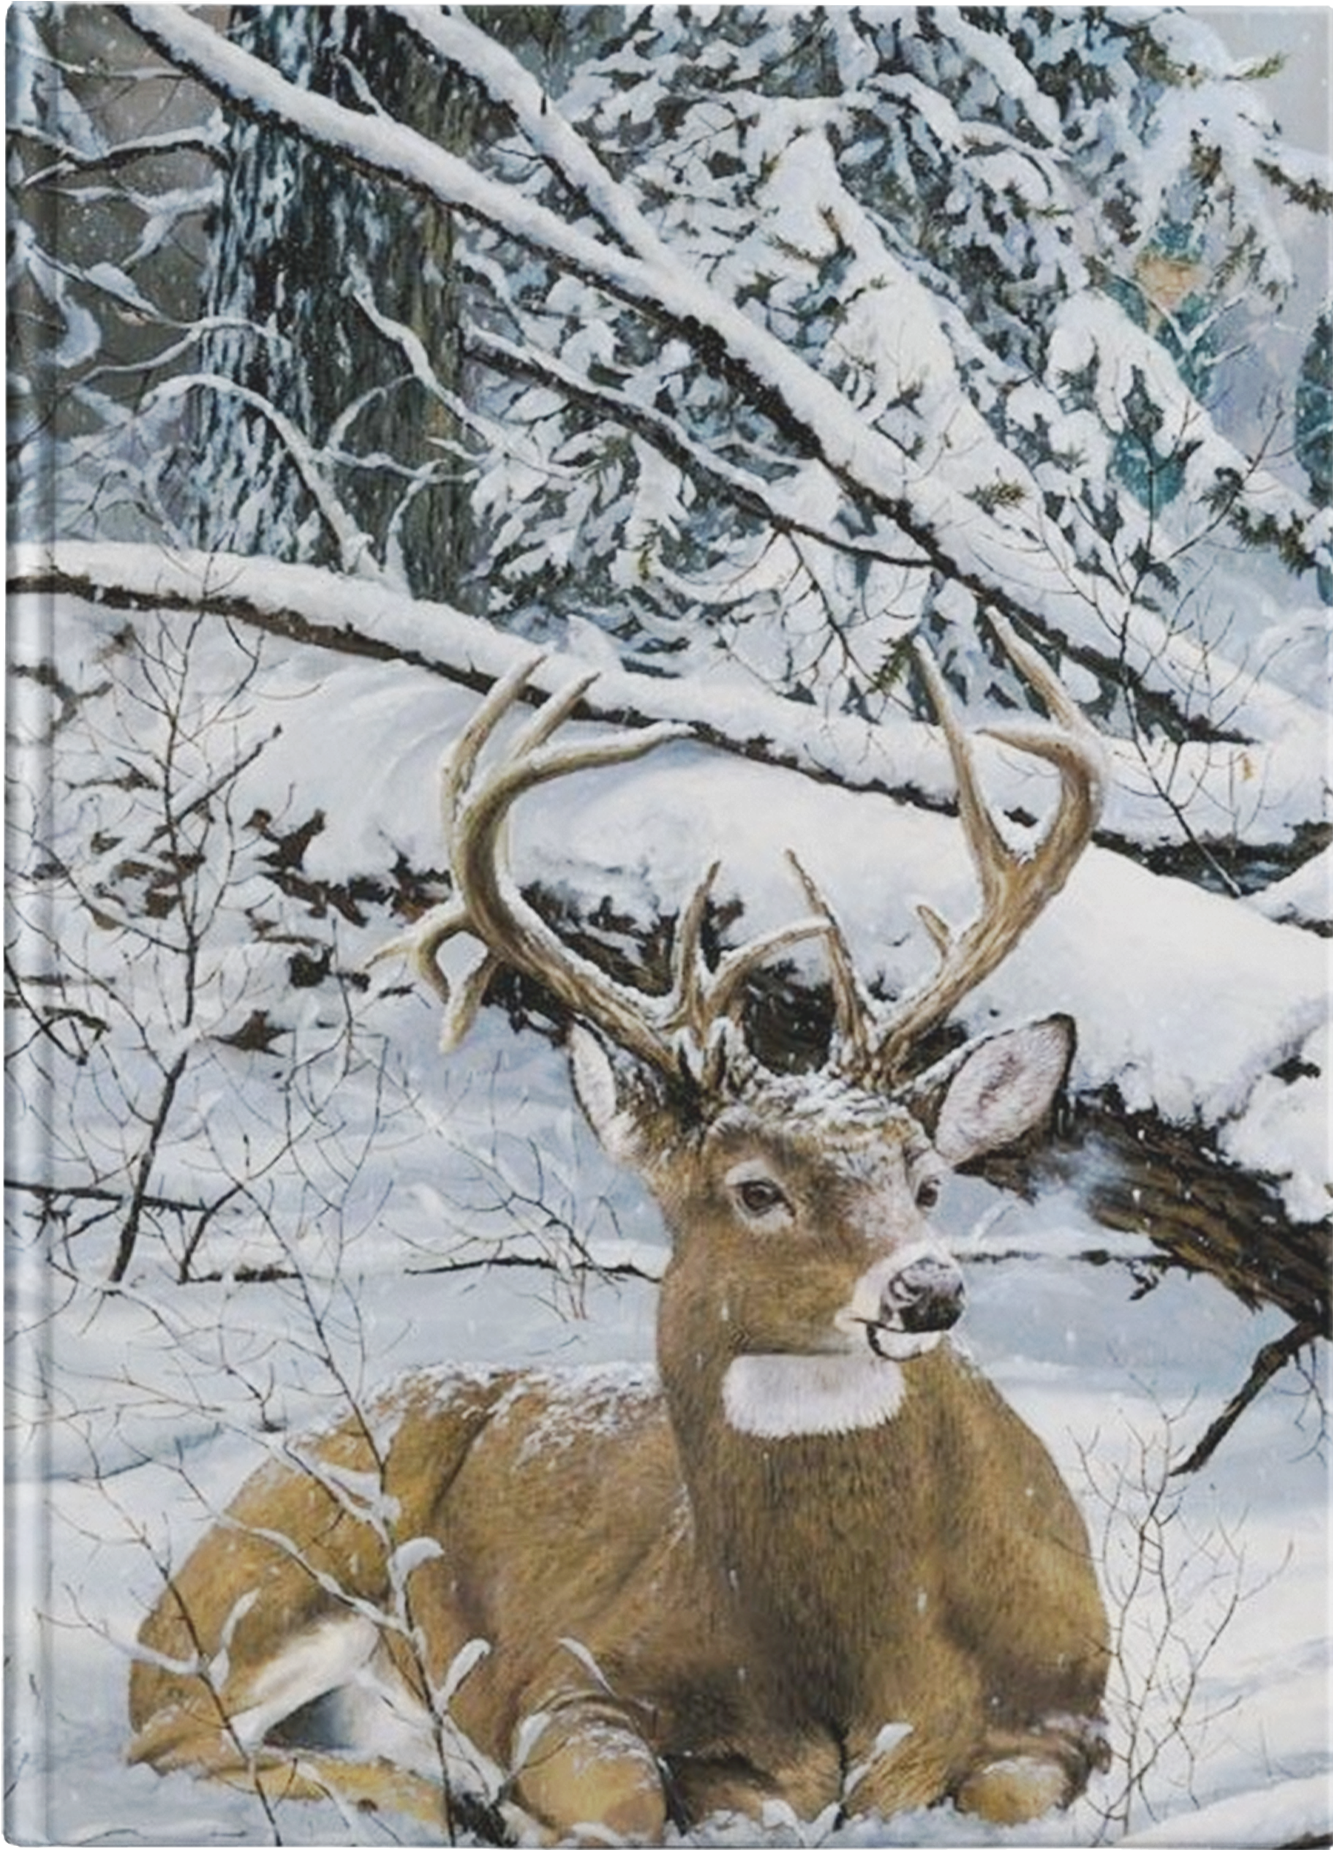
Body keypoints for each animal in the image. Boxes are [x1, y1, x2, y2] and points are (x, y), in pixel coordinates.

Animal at [128, 612, 1111, 1844]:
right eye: (754, 1189)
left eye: (927, 1179)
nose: (926, 1289)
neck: (856, 1664)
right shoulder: (572, 1675)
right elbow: (628, 1795)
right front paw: (516, 1799)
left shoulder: (1073, 1706)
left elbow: (1002, 1787)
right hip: (277, 1568)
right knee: (172, 1735)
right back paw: (439, 1790)